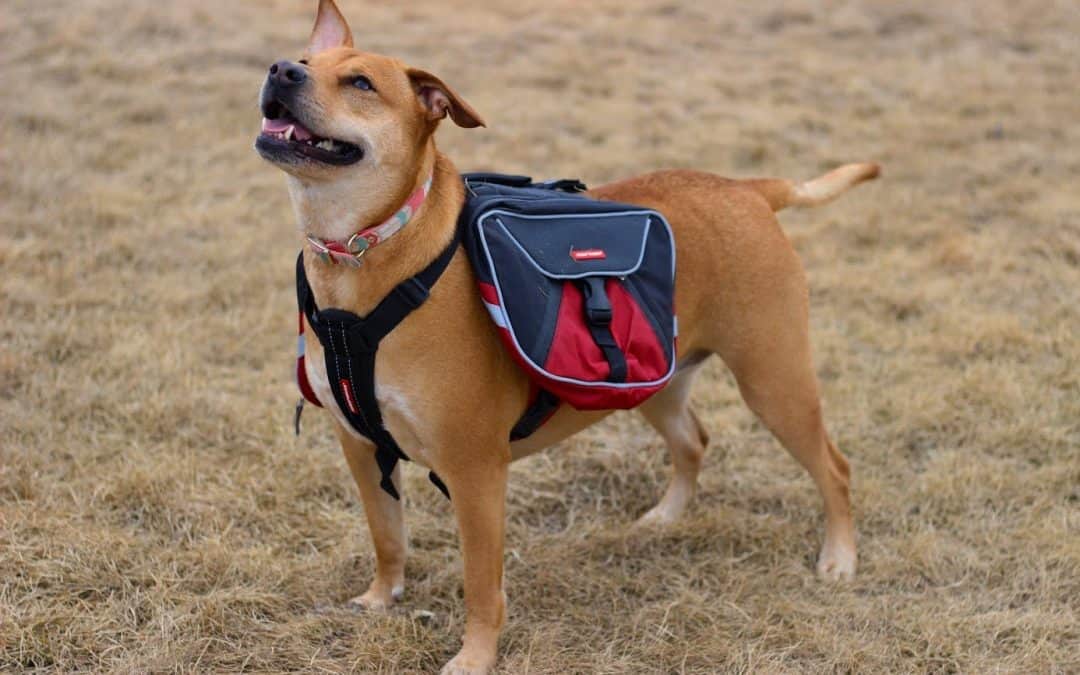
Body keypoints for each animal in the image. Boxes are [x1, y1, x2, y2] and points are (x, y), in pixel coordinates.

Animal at [257, 2, 881, 669]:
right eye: (304, 58)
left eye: (361, 83)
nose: (282, 70)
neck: (360, 253)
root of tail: (749, 189)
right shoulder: (359, 445)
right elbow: (387, 536)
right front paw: (380, 599)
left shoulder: (475, 471)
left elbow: (482, 583)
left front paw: (475, 657)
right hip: (655, 381)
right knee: (693, 441)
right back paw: (667, 516)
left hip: (774, 381)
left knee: (835, 468)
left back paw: (840, 557)